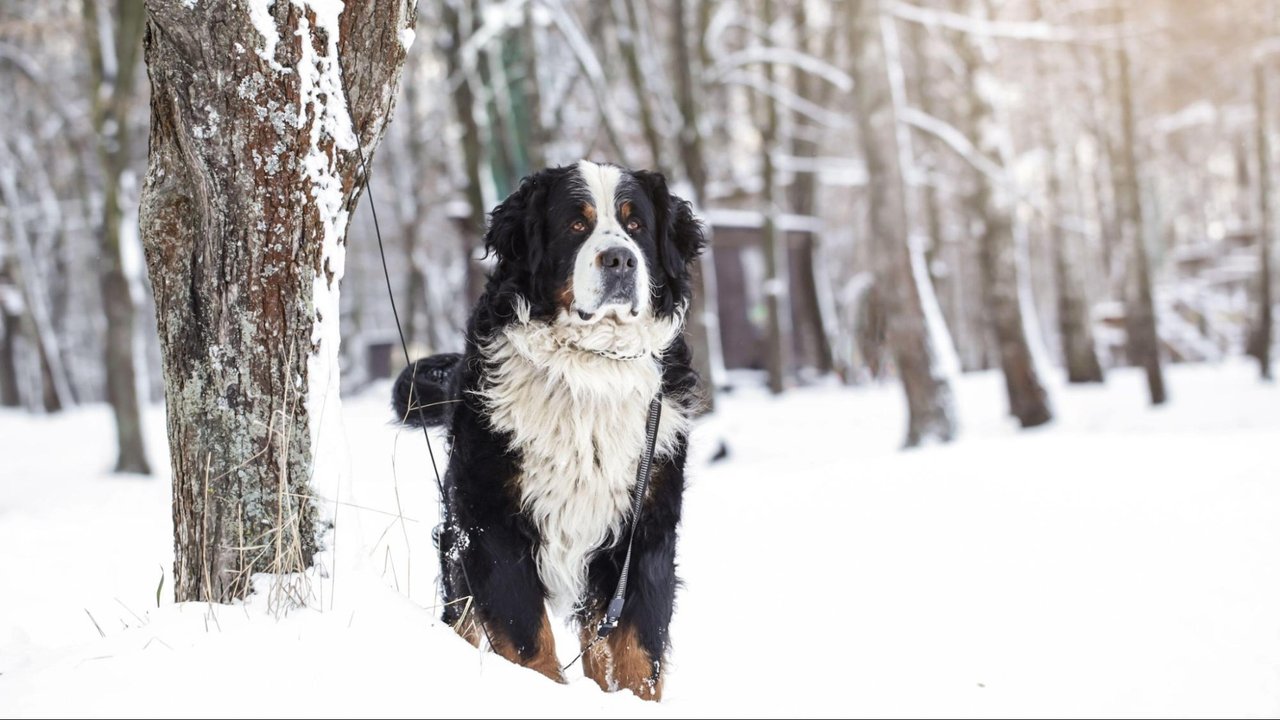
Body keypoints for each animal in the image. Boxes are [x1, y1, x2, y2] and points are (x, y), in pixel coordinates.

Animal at [391, 159, 706, 696]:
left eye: (636, 225)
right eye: (576, 225)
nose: (620, 260)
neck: (591, 368)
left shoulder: (644, 528)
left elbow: (637, 651)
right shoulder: (492, 521)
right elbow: (527, 642)